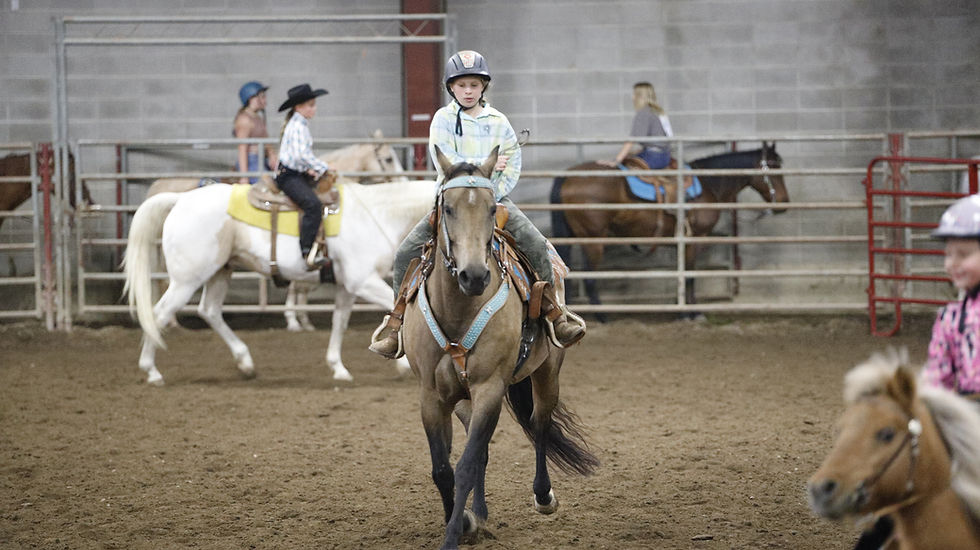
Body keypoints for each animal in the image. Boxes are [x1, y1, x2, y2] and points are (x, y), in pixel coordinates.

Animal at [123, 177, 437, 386]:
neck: (378, 215)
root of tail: (181, 200)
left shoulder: (347, 287)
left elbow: (339, 322)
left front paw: (338, 368)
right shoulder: (363, 282)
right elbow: (394, 310)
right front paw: (403, 363)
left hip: (220, 271)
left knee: (209, 311)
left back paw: (245, 363)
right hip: (186, 280)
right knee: (159, 314)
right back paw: (151, 371)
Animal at [401, 146, 598, 549]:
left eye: (493, 208)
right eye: (448, 209)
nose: (474, 275)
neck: (458, 312)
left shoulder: (490, 387)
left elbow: (463, 466)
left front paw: (454, 534)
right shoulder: (431, 395)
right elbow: (443, 469)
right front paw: (464, 522)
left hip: (547, 371)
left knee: (539, 424)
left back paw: (543, 496)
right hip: (463, 401)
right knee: (483, 450)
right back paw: (481, 513)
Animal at [550, 142, 789, 308]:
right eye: (774, 168)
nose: (784, 202)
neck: (709, 183)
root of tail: (567, 176)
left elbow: (682, 275)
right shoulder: (695, 239)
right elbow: (690, 275)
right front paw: (692, 312)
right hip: (593, 240)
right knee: (590, 278)